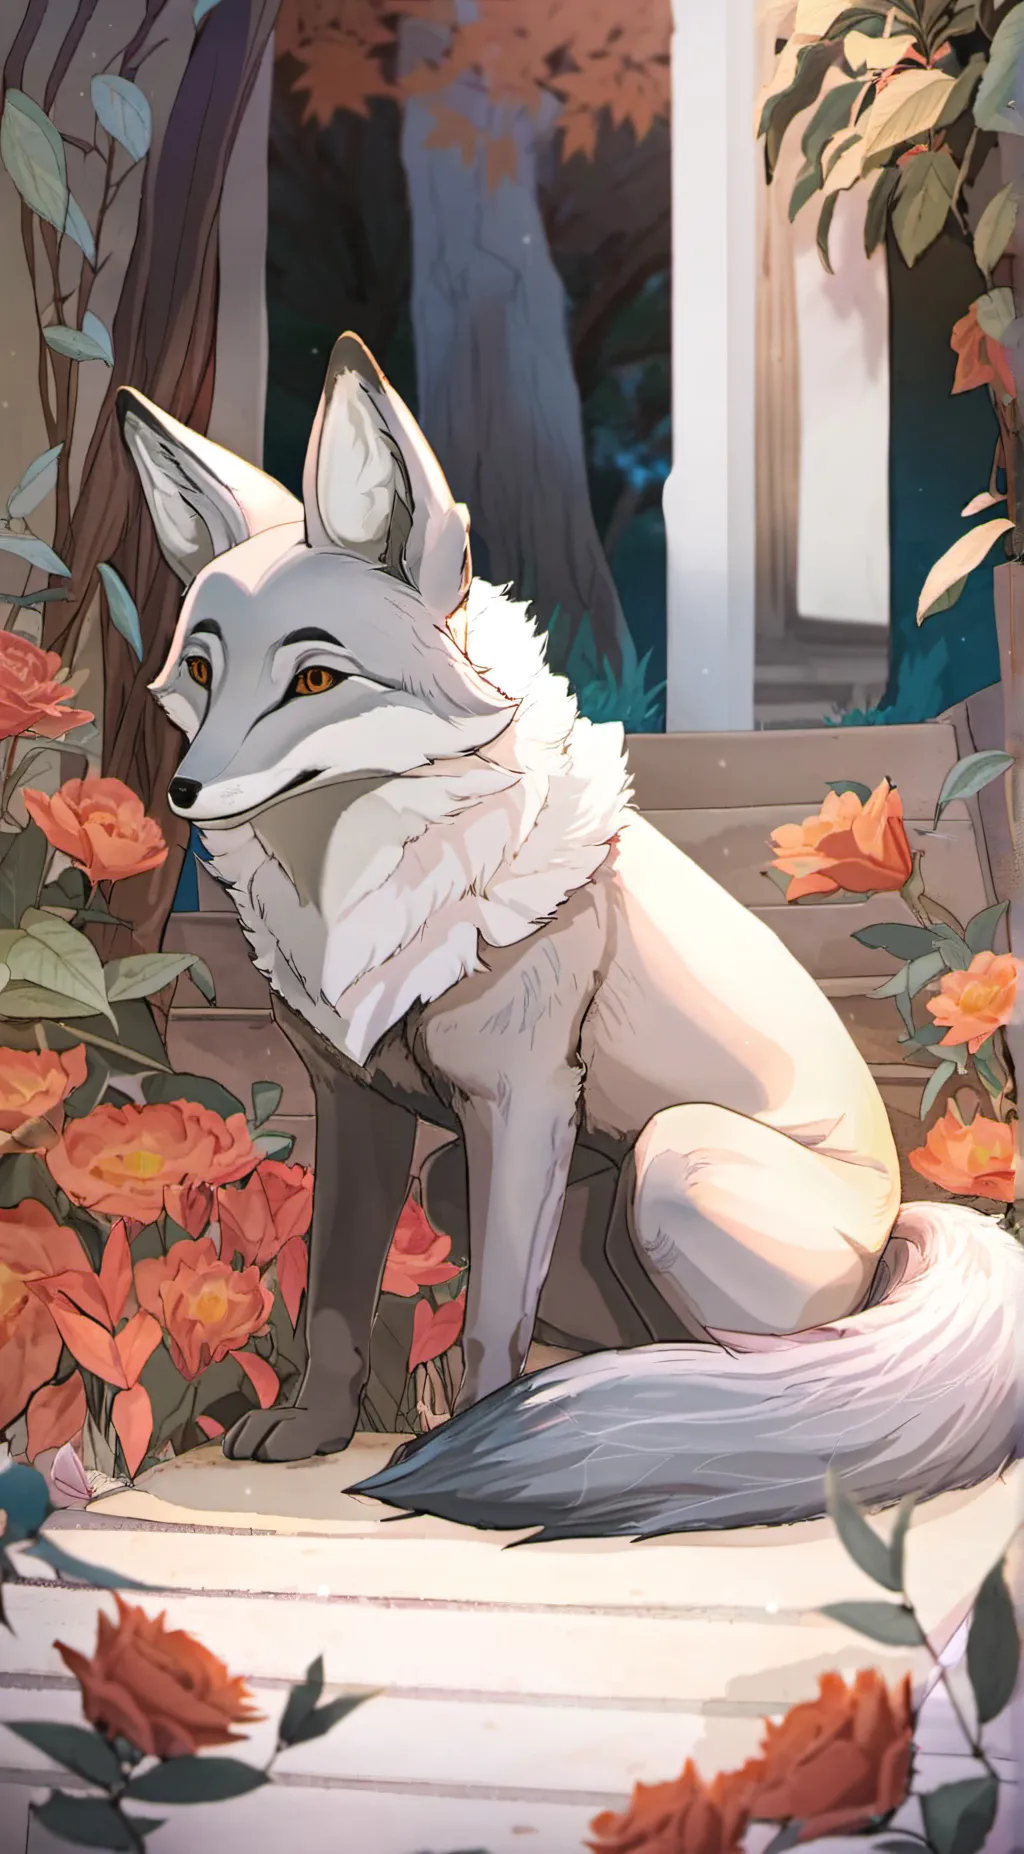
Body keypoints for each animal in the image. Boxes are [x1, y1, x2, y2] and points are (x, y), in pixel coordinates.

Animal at [116, 332, 1021, 1540]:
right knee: (670, 1350)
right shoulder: (356, 1107)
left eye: (314, 679)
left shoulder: (524, 1100)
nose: (181, 793)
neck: (358, 899)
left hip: (670, 1160)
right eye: (203, 672)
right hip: (470, 1182)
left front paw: (459, 1448)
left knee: (779, 1373)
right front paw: (314, 1434)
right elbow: (336, 1300)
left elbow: (492, 1316)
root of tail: (894, 1236)